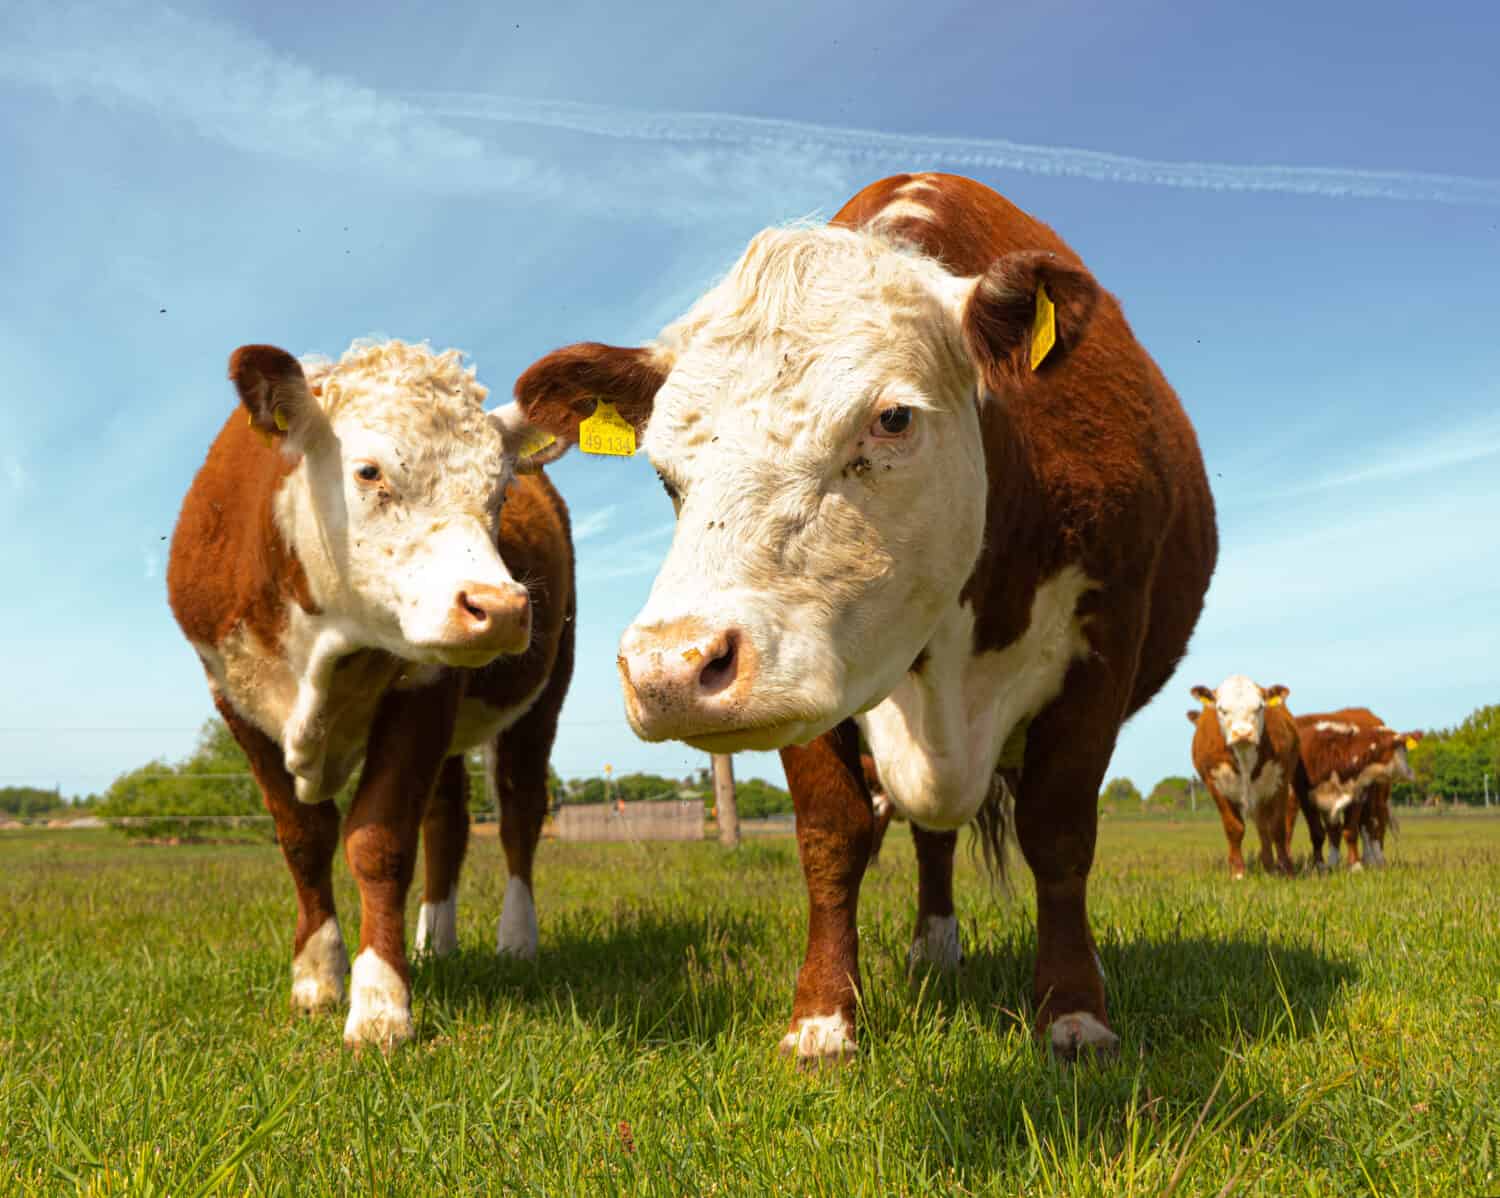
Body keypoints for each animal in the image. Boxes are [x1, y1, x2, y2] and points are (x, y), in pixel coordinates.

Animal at [167, 339, 574, 1048]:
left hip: (544, 694)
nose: (499, 608)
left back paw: (517, 940)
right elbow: (304, 837)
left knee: (520, 811)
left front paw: (381, 1003)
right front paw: (317, 976)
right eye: (369, 472)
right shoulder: (232, 698)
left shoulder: (427, 688)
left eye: (500, 491)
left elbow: (378, 842)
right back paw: (435, 941)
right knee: (448, 821)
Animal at [512, 172, 1217, 1062]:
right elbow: (831, 836)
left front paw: (1074, 1013)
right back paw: (933, 946)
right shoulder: (803, 671)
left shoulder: (1105, 637)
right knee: (930, 833)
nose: (670, 668)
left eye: (892, 419)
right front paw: (821, 1020)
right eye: (665, 470)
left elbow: (1059, 832)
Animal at [1188, 677, 1300, 878]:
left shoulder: (1280, 781)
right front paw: (1238, 872)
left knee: (1266, 827)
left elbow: (1278, 828)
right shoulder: (1215, 784)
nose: (1242, 733)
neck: (1244, 755)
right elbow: (1234, 828)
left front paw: (1286, 870)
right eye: (1221, 709)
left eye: (1260, 707)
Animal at [1293, 708, 1419, 870]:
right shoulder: (1307, 798)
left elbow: (1350, 830)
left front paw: (1355, 865)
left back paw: (1375, 860)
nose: (1411, 772)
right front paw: (1324, 864)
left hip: (1378, 799)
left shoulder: (1358, 795)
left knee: (1373, 826)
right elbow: (1321, 832)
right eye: (1401, 748)